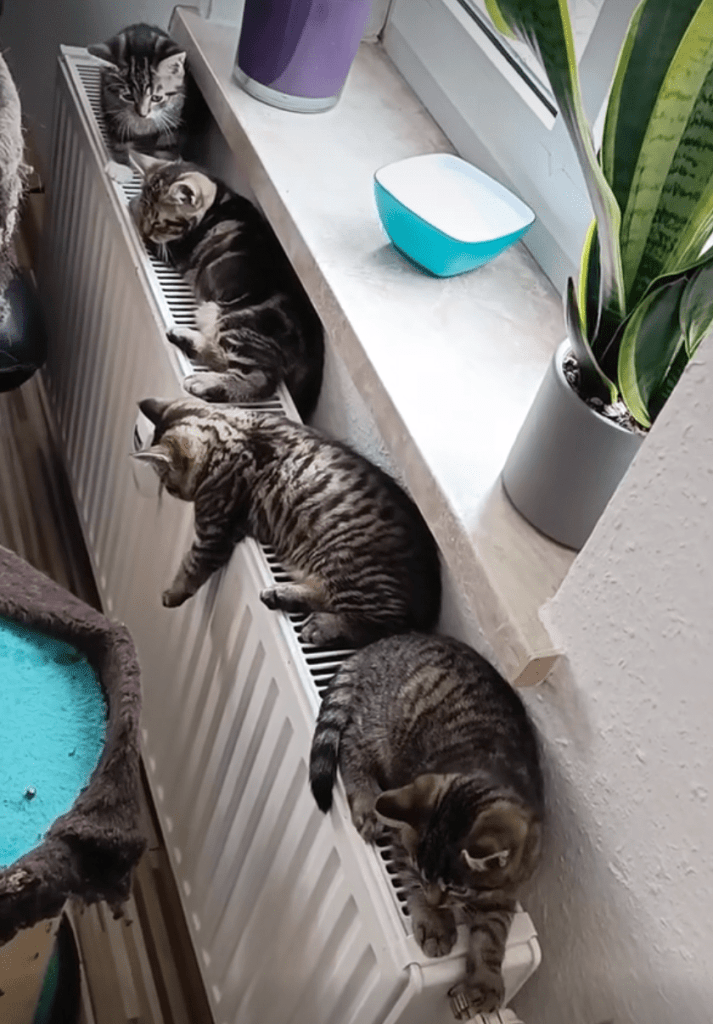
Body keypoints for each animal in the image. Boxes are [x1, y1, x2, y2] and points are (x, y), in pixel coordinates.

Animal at [88, 24, 193, 165]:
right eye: (128, 96)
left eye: (156, 97)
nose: (142, 114)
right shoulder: (112, 110)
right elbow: (120, 142)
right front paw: (122, 164)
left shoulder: (173, 116)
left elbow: (165, 145)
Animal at [129, 155, 324, 420]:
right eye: (151, 218)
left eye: (160, 222)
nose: (148, 229)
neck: (219, 202)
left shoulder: (175, 251)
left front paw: (132, 205)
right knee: (222, 358)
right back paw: (186, 337)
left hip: (238, 325)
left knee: (258, 380)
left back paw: (203, 381)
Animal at [132, 398, 441, 647]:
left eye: (169, 486)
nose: (174, 494)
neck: (235, 431)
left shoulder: (213, 532)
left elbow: (191, 568)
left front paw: (172, 594)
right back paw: (281, 594)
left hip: (350, 567)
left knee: (384, 626)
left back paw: (323, 625)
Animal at [309, 632, 544, 1014]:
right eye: (425, 876)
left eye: (457, 887)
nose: (438, 902)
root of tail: (379, 644)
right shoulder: (403, 839)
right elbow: (409, 877)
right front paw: (434, 921)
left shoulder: (508, 889)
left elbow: (492, 935)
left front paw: (485, 982)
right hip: (377, 727)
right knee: (351, 746)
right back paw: (365, 801)